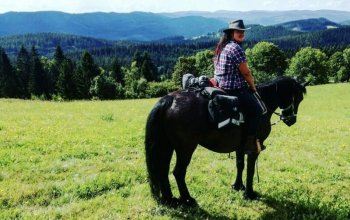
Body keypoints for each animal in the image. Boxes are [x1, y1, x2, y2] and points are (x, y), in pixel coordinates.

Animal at [144, 76, 306, 206]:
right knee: (178, 172)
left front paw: (238, 186)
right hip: (186, 148)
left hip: (166, 146)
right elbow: (250, 169)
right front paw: (249, 193)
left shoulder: (240, 147)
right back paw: (188, 199)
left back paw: (169, 200)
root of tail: (170, 99)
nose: (291, 120)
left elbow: (240, 165)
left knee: (163, 170)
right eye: (299, 98)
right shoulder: (254, 148)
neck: (263, 101)